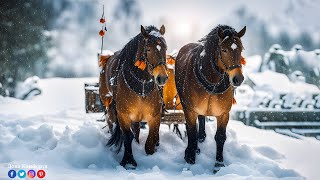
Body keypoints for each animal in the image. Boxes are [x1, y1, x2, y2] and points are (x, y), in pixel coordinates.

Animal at [100, 24, 169, 168]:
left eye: (165, 48)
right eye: (148, 49)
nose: (162, 78)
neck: (141, 85)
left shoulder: (155, 115)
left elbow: (151, 140)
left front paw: (151, 155)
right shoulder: (123, 114)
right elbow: (127, 136)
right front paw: (128, 161)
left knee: (136, 129)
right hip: (108, 104)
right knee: (111, 123)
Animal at [174, 24, 246, 172]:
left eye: (241, 48)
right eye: (224, 50)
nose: (238, 79)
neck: (212, 82)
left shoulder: (224, 113)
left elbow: (220, 137)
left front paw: (218, 164)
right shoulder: (190, 110)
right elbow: (191, 133)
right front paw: (190, 158)